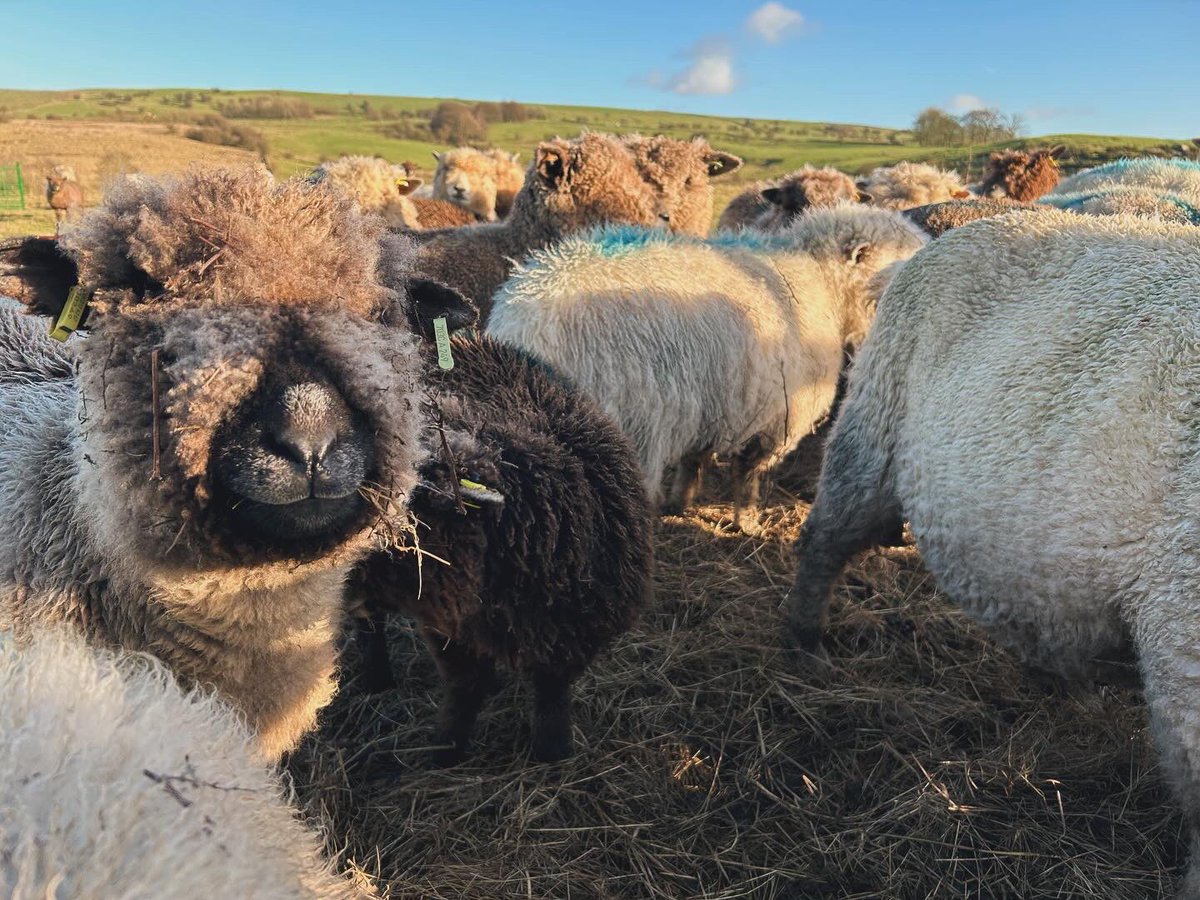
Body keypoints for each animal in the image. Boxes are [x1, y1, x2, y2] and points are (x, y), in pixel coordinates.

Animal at [347, 318, 654, 764]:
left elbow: (551, 695)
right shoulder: (450, 631)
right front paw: (447, 749)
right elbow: (465, 688)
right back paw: (374, 677)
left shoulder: (570, 638)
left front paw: (552, 752)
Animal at [487, 204, 928, 529]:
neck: (822, 284)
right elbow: (748, 475)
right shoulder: (776, 416)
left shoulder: (712, 400)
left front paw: (680, 501)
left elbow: (694, 459)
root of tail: (526, 325)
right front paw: (748, 523)